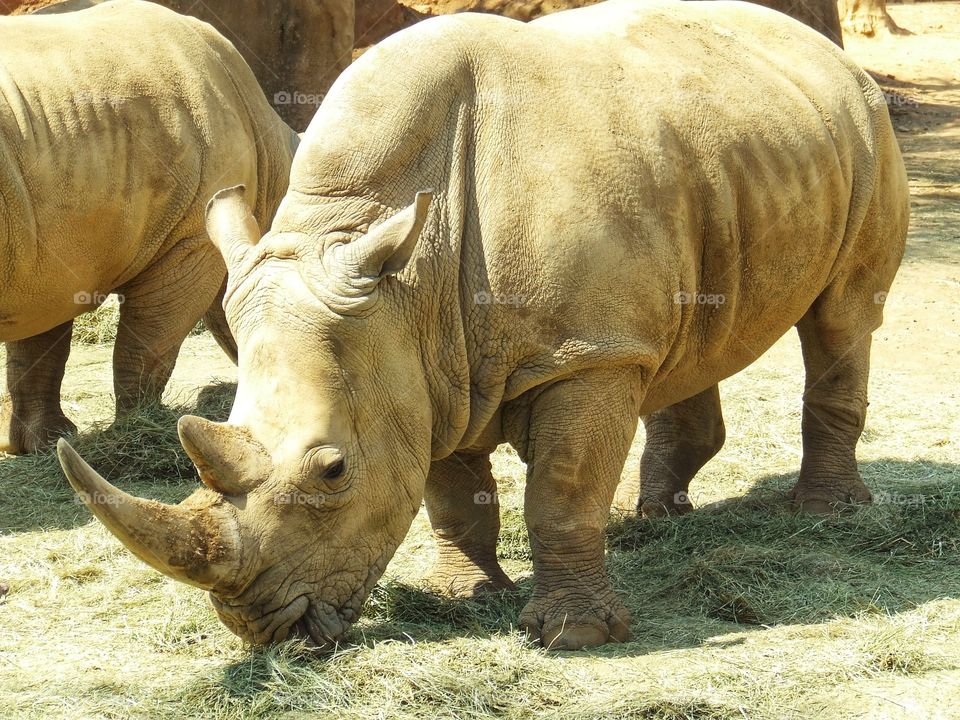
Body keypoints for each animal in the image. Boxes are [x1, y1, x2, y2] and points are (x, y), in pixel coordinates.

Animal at [0, 0, 298, 454]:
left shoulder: (51, 247)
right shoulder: (192, 239)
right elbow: (150, 341)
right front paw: (141, 424)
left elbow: (39, 346)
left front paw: (48, 441)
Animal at [59, 0, 908, 650]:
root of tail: (814, 46)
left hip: (865, 127)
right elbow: (448, 491)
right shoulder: (415, 352)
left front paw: (572, 636)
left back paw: (826, 515)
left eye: (332, 472)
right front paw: (468, 598)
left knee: (843, 316)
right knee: (678, 340)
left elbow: (563, 488)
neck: (401, 272)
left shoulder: (581, 355)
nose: (267, 630)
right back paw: (655, 516)